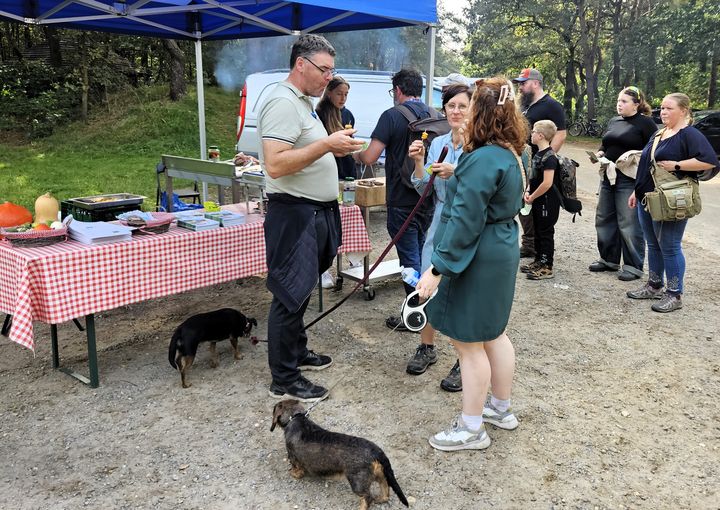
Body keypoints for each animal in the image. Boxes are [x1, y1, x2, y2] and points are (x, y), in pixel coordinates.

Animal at [270, 400, 408, 508]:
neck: (296, 418)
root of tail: (376, 450)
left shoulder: (293, 456)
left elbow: (296, 467)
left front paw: (294, 474)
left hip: (357, 482)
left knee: (368, 498)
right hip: (380, 475)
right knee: (385, 490)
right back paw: (380, 499)